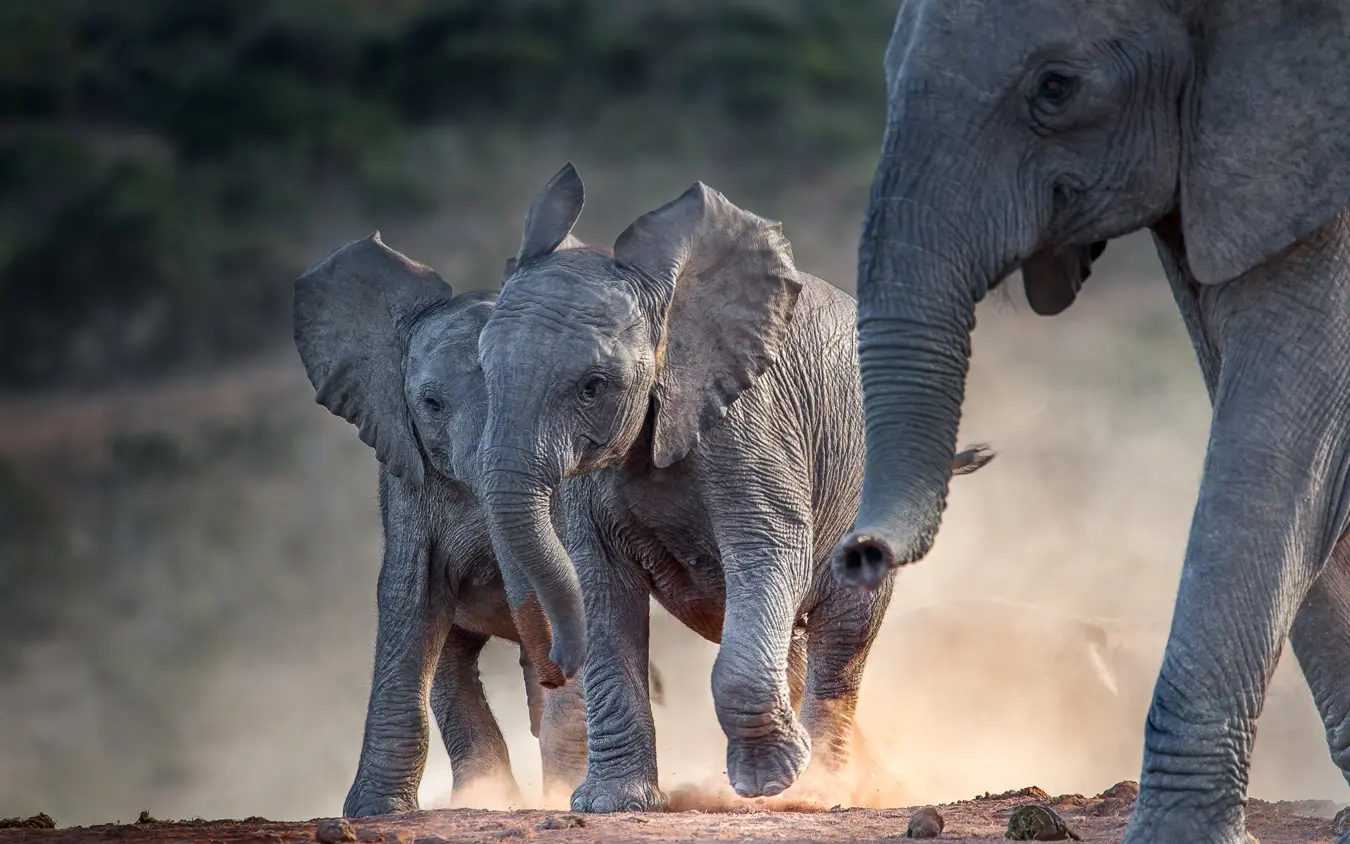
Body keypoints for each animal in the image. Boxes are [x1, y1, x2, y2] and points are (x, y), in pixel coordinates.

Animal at [291, 233, 665, 817]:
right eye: (431, 403)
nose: (556, 663)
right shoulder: (407, 473)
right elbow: (409, 595)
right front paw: (374, 812)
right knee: (451, 661)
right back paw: (487, 793)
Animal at [474, 162, 995, 812]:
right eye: (482, 371)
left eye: (593, 386)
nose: (552, 667)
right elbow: (603, 587)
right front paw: (612, 805)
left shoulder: (751, 422)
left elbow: (767, 550)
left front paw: (768, 784)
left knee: (841, 639)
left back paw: (823, 789)